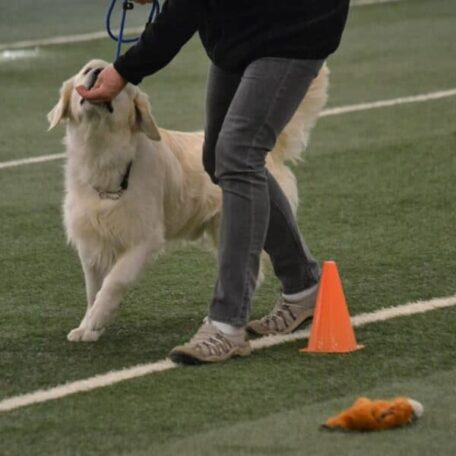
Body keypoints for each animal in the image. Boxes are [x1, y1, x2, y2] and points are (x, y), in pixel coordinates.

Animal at [49, 58, 328, 342]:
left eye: (119, 79)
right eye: (86, 70)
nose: (97, 72)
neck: (102, 154)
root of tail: (267, 153)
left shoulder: (145, 239)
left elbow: (114, 282)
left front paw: (96, 319)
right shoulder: (91, 239)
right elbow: (93, 289)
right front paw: (88, 327)